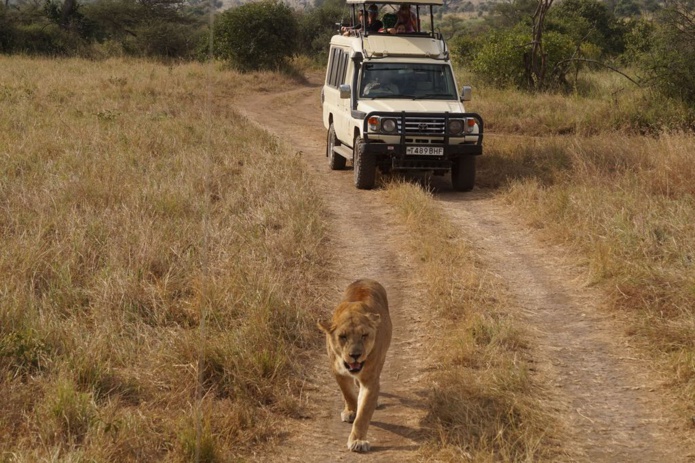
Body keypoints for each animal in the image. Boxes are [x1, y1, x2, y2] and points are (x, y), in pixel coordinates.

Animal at [317, 279, 392, 452]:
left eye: (364, 335)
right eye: (343, 336)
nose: (355, 355)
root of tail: (366, 280)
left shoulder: (370, 379)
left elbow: (364, 413)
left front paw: (358, 440)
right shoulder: (338, 371)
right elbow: (348, 394)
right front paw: (351, 411)